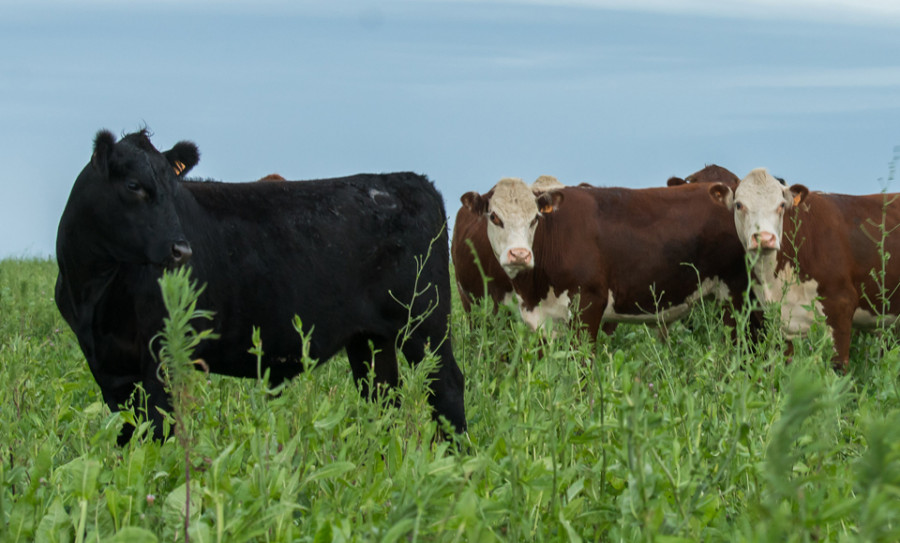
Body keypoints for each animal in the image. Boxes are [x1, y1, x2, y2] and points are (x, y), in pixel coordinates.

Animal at [56, 130, 468, 444]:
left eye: (174, 188)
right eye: (133, 186)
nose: (181, 249)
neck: (95, 290)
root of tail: (407, 180)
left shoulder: (164, 354)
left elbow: (158, 428)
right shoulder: (108, 367)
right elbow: (128, 432)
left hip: (425, 322)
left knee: (446, 386)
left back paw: (455, 460)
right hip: (370, 337)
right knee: (382, 397)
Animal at [460, 176, 748, 338]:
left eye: (535, 218)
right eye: (494, 217)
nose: (519, 254)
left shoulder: (589, 304)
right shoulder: (541, 319)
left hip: (738, 294)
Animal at [712, 169, 900, 374]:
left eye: (781, 205)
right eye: (739, 205)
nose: (764, 238)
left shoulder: (841, 306)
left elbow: (838, 367)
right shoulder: (777, 320)